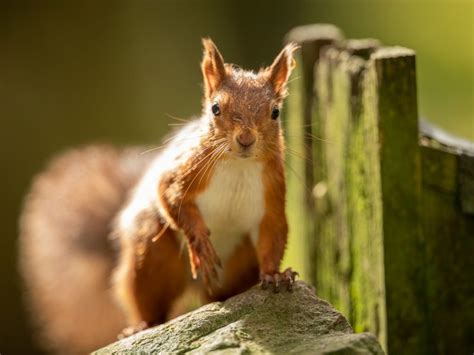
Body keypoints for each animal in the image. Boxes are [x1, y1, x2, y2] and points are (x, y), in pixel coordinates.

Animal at [21, 39, 300, 354]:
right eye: (215, 108)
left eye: (275, 112)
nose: (245, 139)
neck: (237, 165)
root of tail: (198, 286)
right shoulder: (183, 170)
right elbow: (170, 198)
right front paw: (200, 241)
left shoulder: (272, 196)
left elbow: (273, 235)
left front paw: (275, 275)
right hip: (153, 256)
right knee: (148, 301)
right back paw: (141, 325)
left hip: (239, 259)